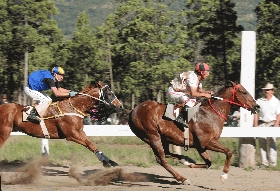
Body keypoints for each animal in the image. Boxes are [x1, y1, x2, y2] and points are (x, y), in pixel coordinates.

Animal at [128, 81, 260, 185]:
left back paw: (184, 160)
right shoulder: (205, 142)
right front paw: (224, 176)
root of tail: (132, 111)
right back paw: (183, 178)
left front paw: (189, 163)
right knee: (162, 160)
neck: (210, 114)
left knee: (166, 154)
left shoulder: (201, 147)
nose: (257, 106)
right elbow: (228, 152)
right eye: (244, 92)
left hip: (162, 137)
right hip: (152, 136)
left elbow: (209, 163)